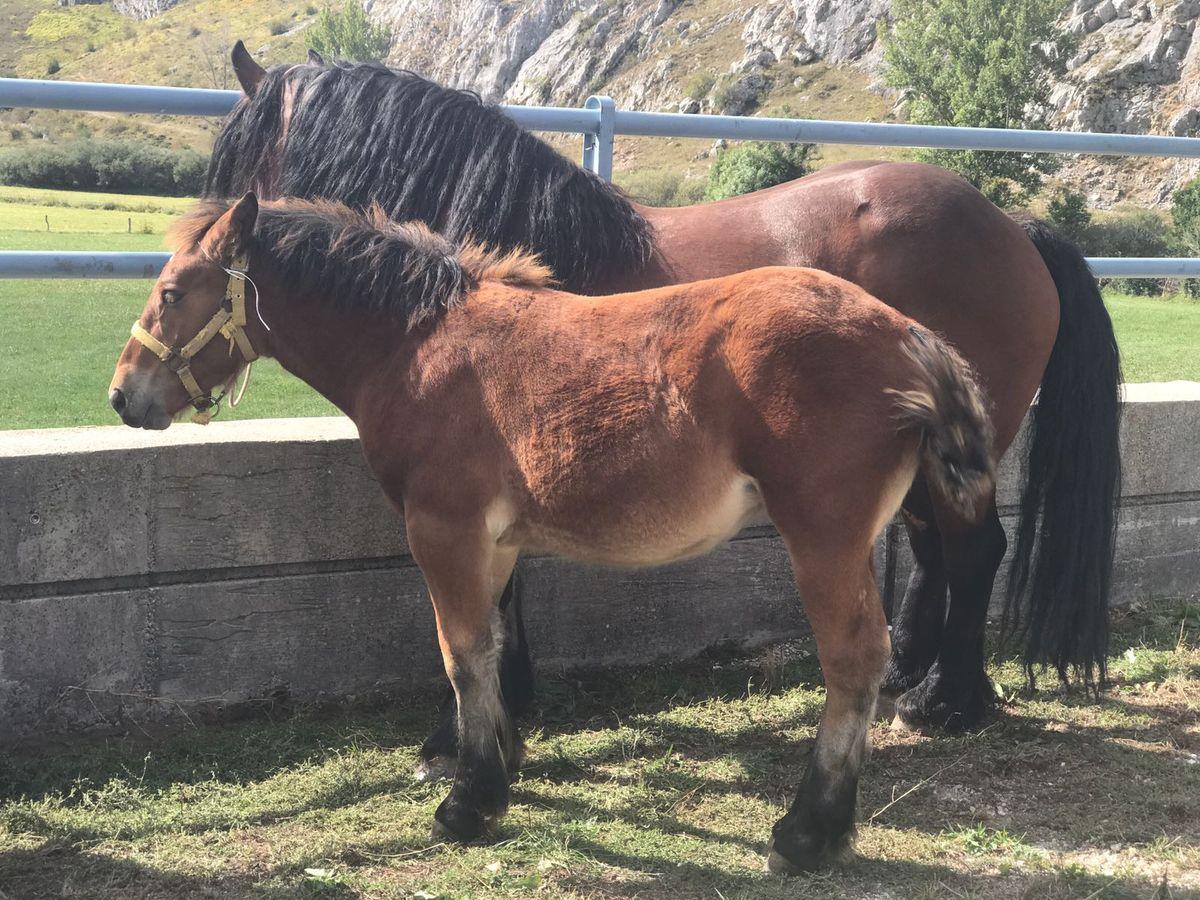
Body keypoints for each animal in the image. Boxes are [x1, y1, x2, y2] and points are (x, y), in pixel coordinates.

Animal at [110, 192, 993, 873]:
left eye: (174, 291)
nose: (124, 395)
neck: (419, 344)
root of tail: (907, 335)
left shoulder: (443, 528)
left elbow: (460, 653)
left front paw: (469, 802)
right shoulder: (495, 541)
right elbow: (493, 645)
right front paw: (500, 763)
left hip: (824, 539)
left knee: (854, 661)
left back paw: (809, 833)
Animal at [208, 49, 1123, 753]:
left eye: (232, 179)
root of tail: (1012, 226)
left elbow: (485, 596)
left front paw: (460, 729)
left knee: (975, 552)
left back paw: (951, 702)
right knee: (938, 553)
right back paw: (908, 676)